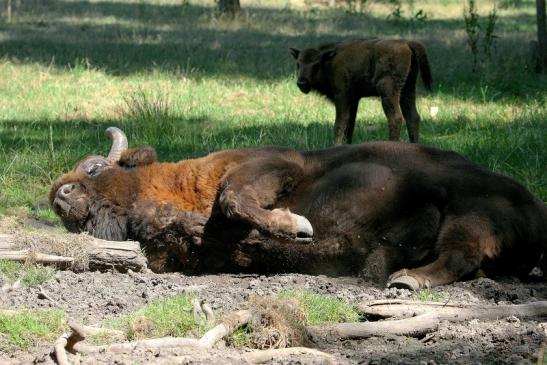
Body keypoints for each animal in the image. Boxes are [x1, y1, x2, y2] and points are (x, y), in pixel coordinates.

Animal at [288, 38, 434, 144]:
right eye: (298, 63)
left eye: (316, 64)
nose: (302, 82)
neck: (329, 62)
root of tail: (406, 43)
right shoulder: (354, 100)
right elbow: (349, 126)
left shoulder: (341, 96)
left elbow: (339, 124)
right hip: (408, 90)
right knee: (413, 117)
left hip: (388, 92)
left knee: (396, 119)